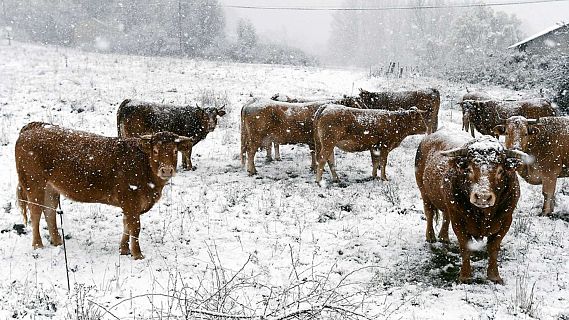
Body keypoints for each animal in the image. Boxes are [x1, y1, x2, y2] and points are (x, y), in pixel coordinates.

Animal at [15, 121, 193, 258]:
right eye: (155, 151)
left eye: (175, 151)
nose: (167, 170)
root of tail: (33, 127)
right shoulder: (131, 201)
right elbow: (134, 227)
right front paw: (137, 254)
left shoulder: (129, 204)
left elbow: (126, 225)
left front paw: (123, 249)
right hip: (34, 183)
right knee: (35, 212)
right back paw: (38, 245)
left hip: (50, 187)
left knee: (49, 210)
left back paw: (57, 241)